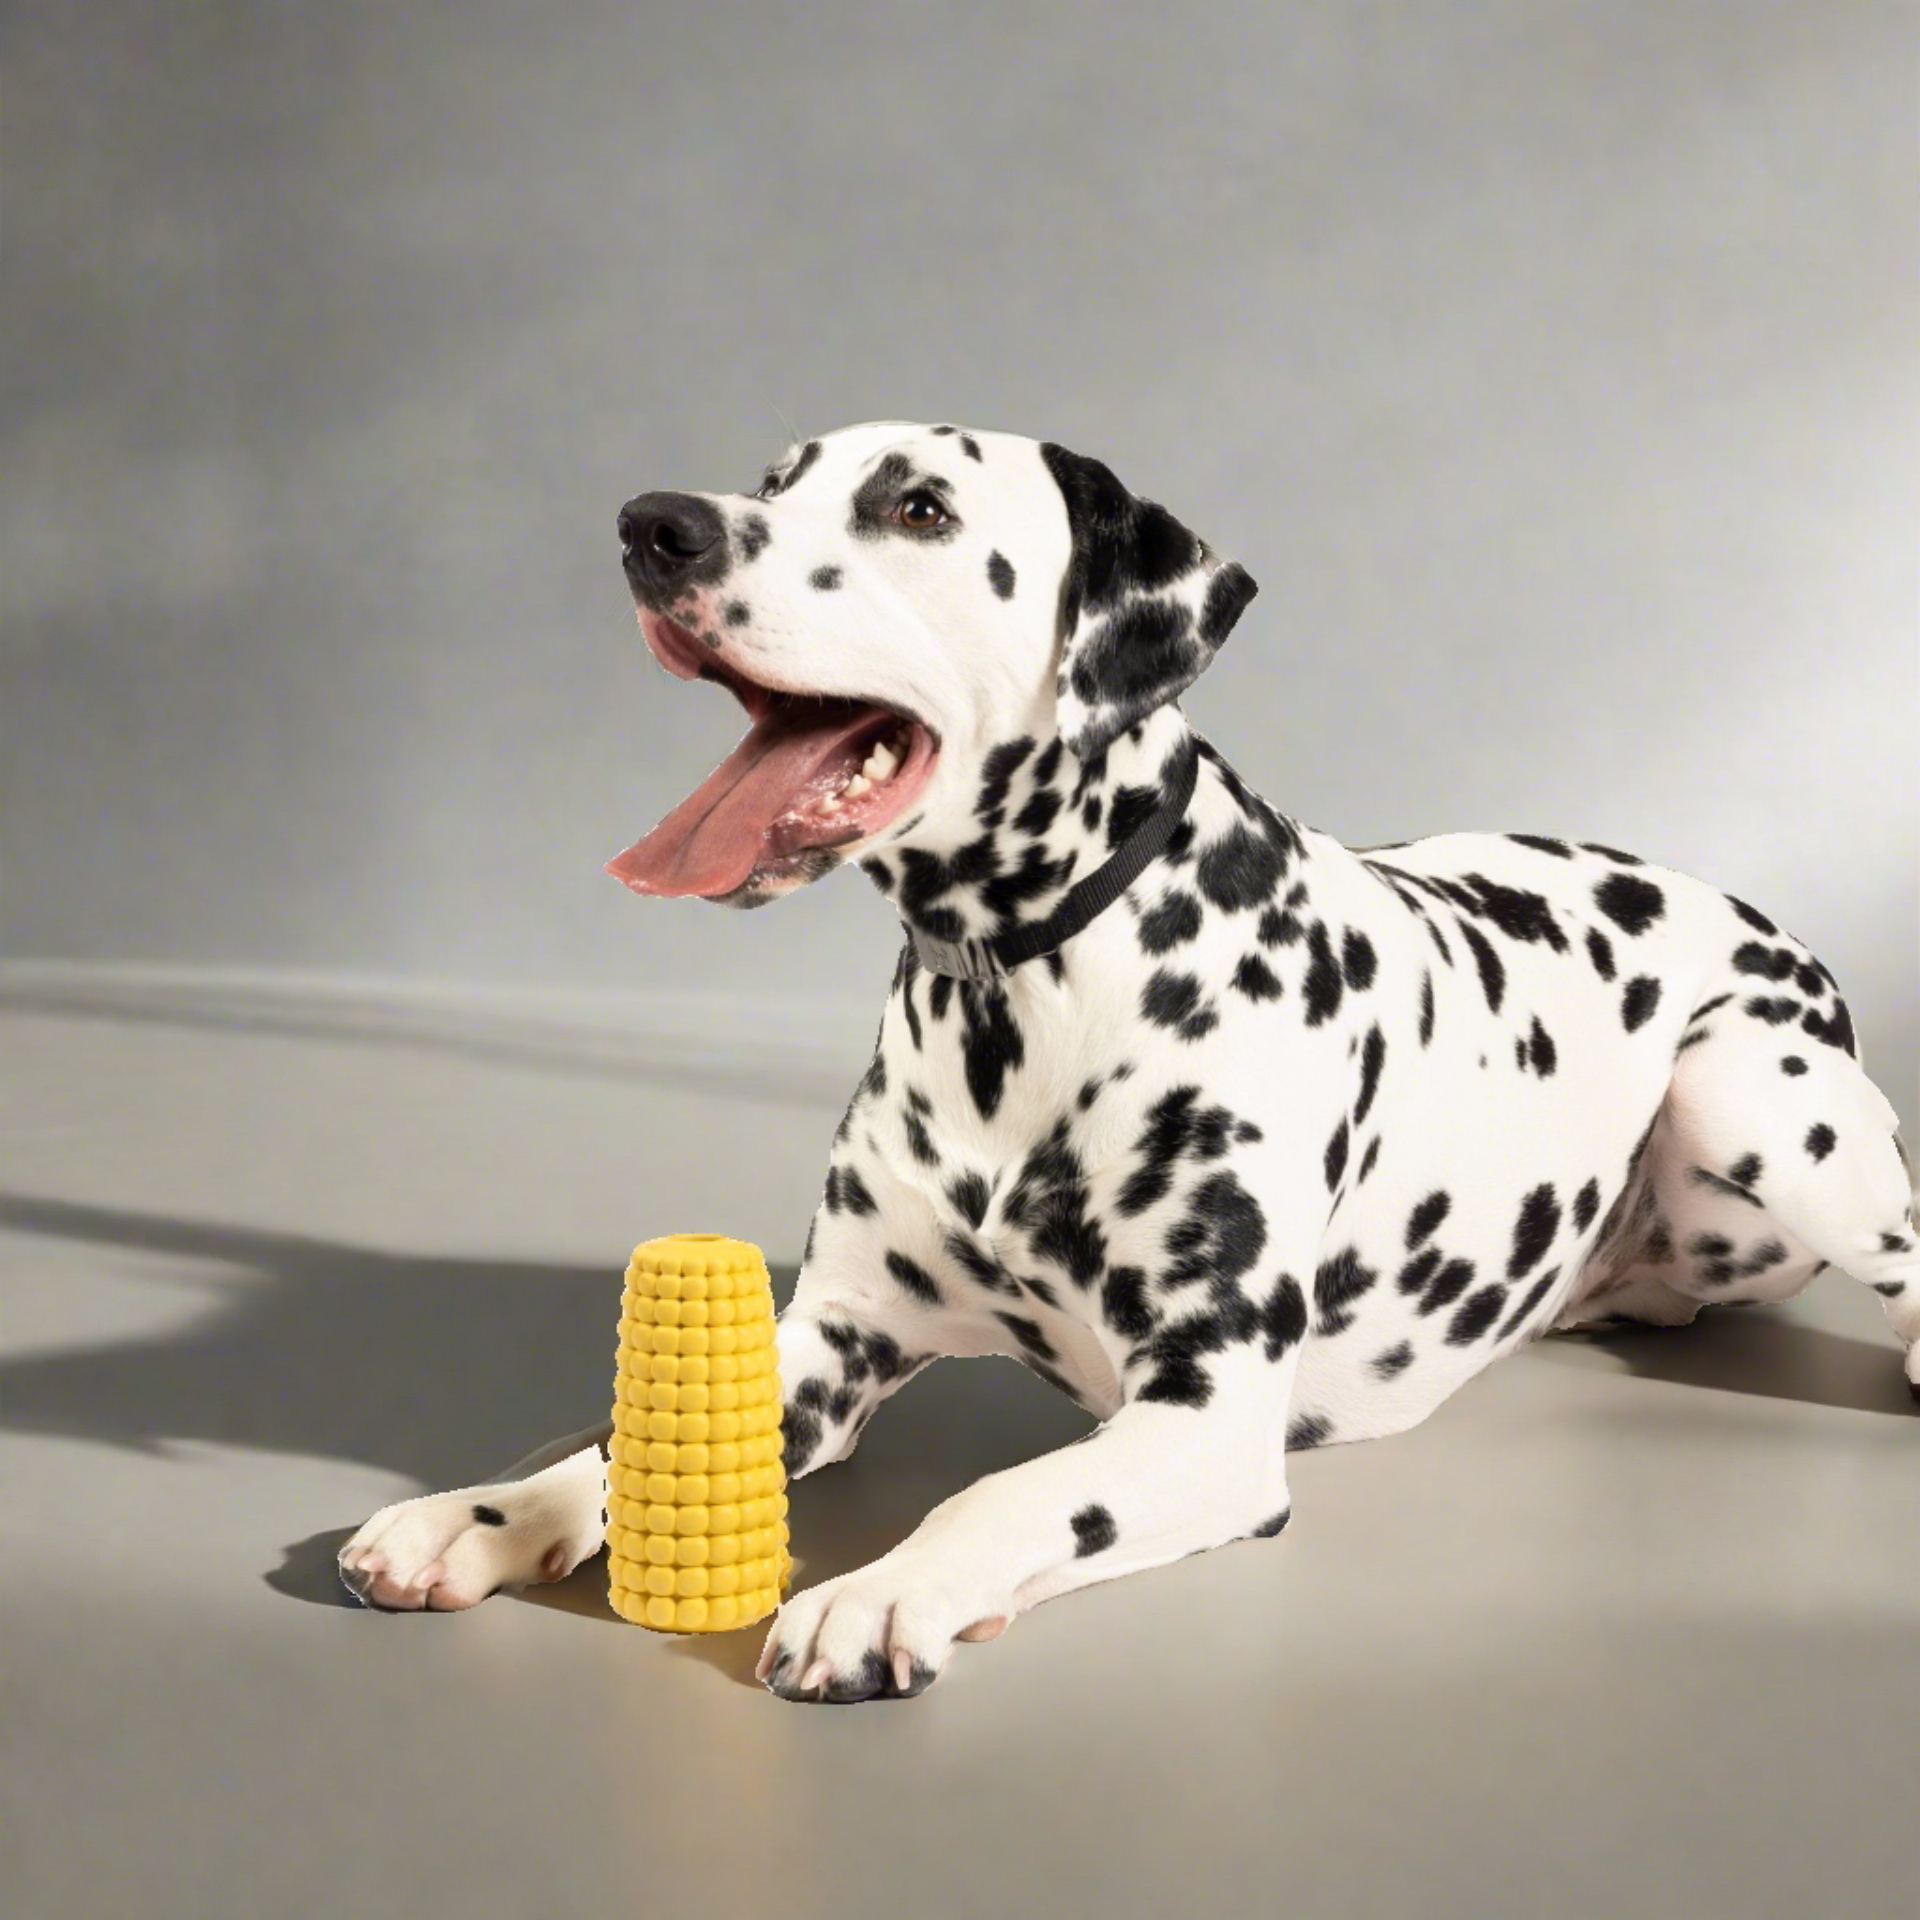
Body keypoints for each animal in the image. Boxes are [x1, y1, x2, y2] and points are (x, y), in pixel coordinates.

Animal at [345, 416, 1920, 1697]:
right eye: (774, 481)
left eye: (916, 507)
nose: (654, 523)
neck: (1025, 989)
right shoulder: (826, 1336)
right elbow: (619, 1441)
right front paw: (476, 1515)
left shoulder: (1205, 1418)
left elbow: (1007, 1495)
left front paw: (883, 1590)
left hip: (1755, 1100)